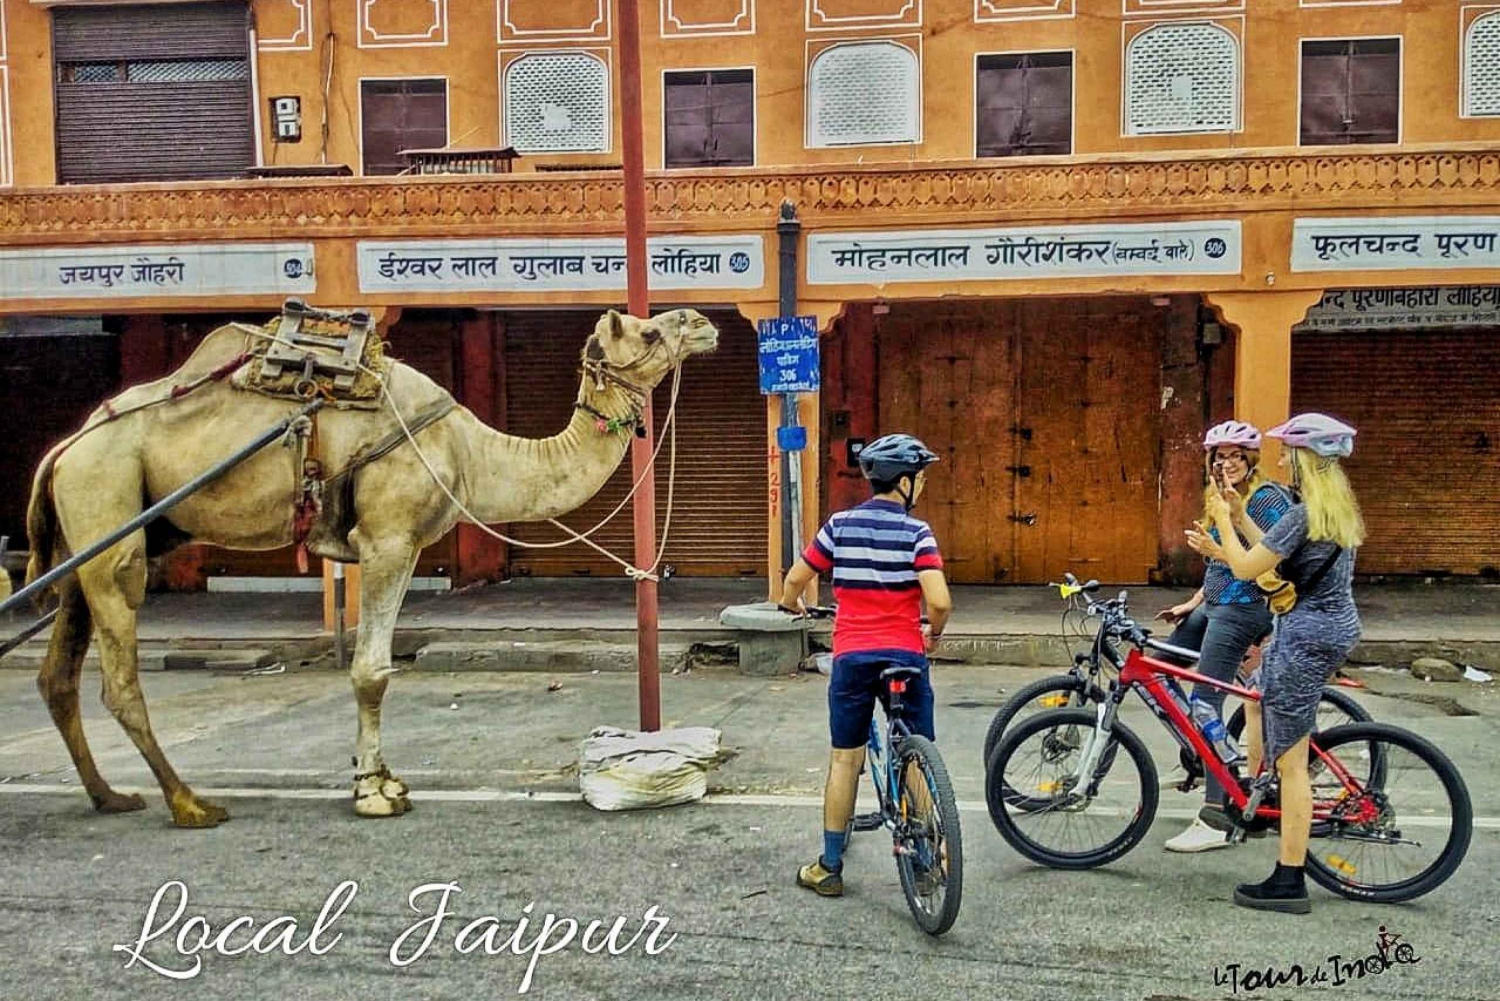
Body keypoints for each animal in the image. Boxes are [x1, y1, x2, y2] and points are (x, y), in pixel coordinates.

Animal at [24, 309, 720, 828]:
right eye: (648, 332)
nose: (703, 321)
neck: (470, 453)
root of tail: (66, 447)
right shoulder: (388, 536)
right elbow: (372, 671)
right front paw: (373, 793)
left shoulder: (404, 545)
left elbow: (375, 667)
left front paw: (384, 779)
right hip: (107, 504)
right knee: (119, 671)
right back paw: (189, 802)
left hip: (96, 531)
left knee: (59, 671)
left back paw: (109, 796)